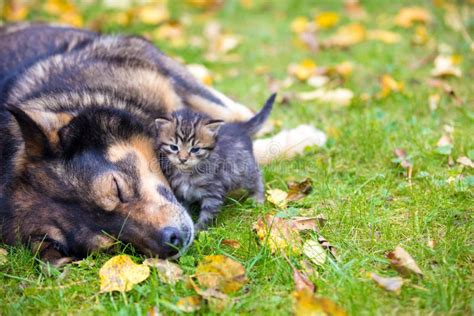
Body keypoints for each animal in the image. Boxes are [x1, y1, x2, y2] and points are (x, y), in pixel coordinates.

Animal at [154, 94, 276, 232]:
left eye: (195, 149)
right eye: (174, 147)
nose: (183, 159)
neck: (187, 172)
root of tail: (238, 127)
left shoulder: (214, 190)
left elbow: (208, 213)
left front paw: (200, 230)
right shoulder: (180, 193)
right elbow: (185, 211)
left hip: (244, 170)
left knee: (256, 177)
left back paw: (257, 198)